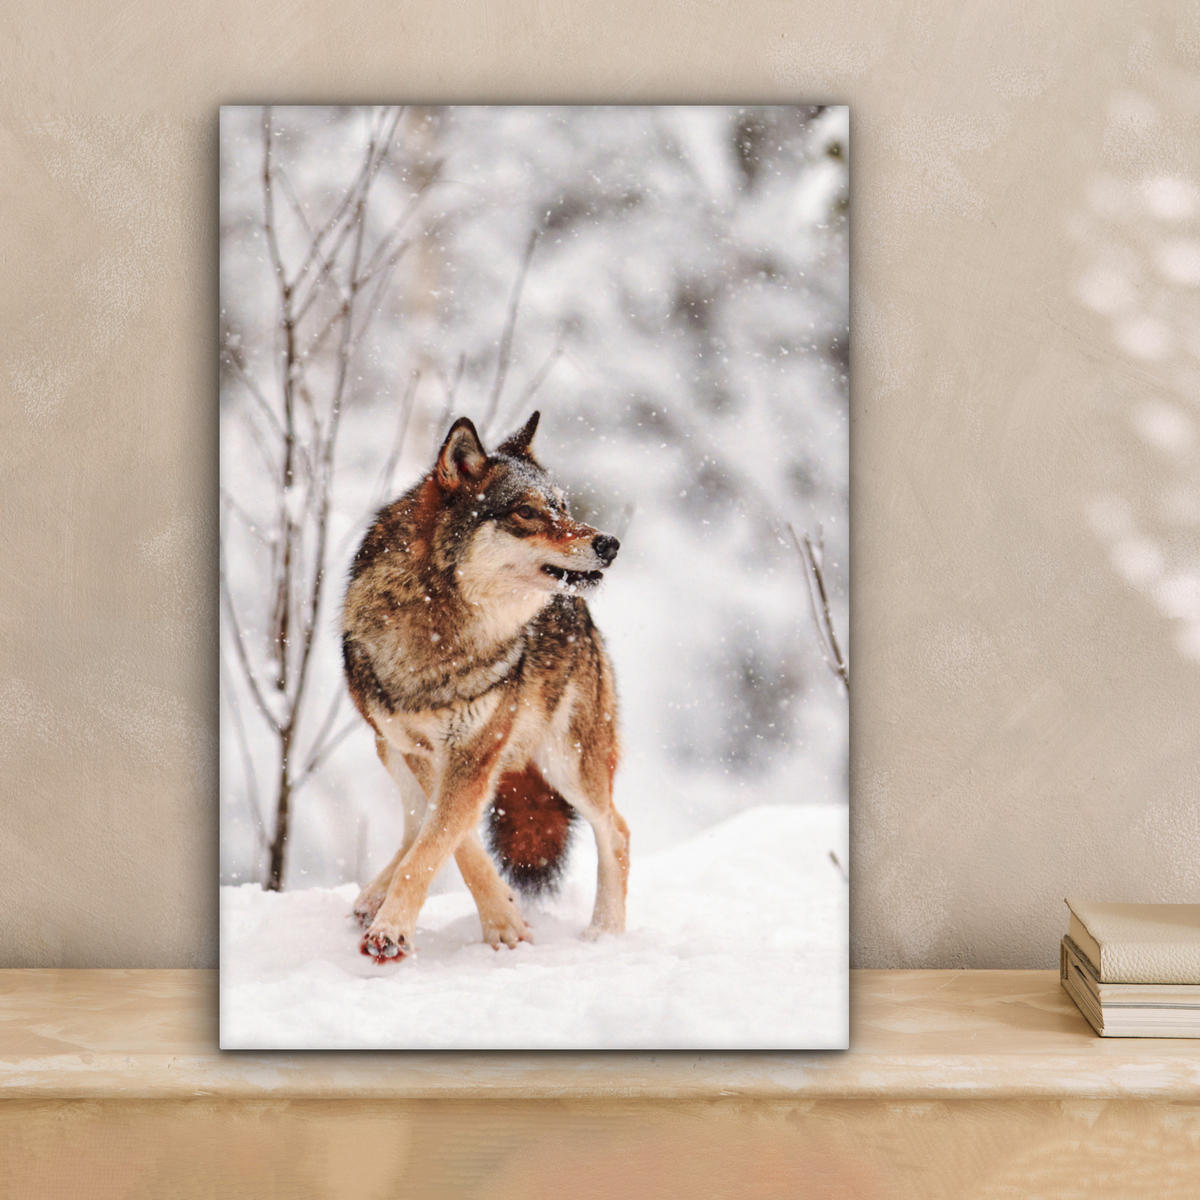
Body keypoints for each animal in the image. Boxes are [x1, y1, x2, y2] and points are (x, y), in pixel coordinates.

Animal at [342, 411, 629, 963]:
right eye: (527, 512)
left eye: (563, 507)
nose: (609, 543)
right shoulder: (422, 749)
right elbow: (449, 842)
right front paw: (503, 918)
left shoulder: (474, 751)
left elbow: (438, 843)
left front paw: (396, 930)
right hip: (387, 747)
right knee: (413, 823)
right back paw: (371, 897)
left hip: (567, 763)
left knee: (618, 832)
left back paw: (605, 934)